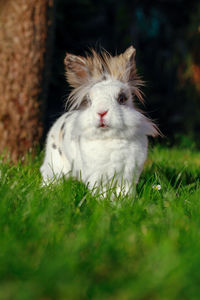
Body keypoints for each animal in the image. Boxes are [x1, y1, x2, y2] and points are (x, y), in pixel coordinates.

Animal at [40, 45, 159, 195]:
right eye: (89, 100)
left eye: (122, 98)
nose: (101, 112)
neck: (111, 138)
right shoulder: (96, 175)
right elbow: (100, 191)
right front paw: (102, 200)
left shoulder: (127, 176)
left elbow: (125, 191)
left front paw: (124, 201)